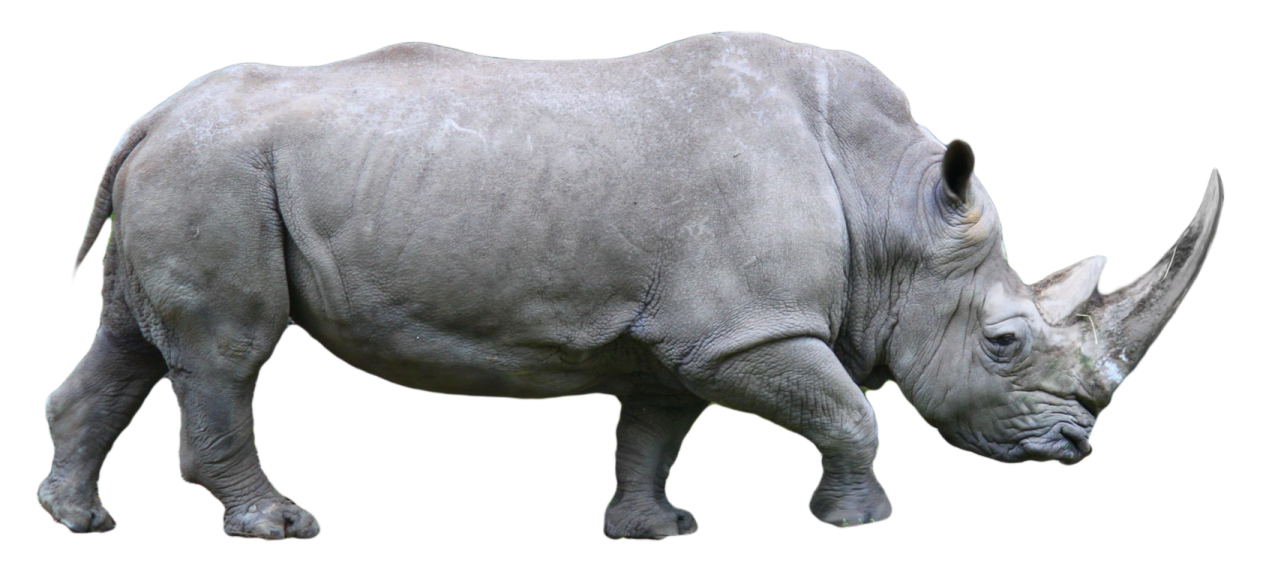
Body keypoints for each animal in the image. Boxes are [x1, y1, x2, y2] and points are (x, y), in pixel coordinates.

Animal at [40, 32, 1224, 541]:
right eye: (1005, 342)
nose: (1073, 448)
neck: (894, 206)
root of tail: (149, 115)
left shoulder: (685, 338)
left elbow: (654, 429)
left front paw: (654, 530)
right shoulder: (749, 329)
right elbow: (848, 410)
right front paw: (859, 520)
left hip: (192, 168)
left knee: (132, 342)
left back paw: (77, 518)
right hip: (216, 174)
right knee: (227, 354)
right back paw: (278, 526)